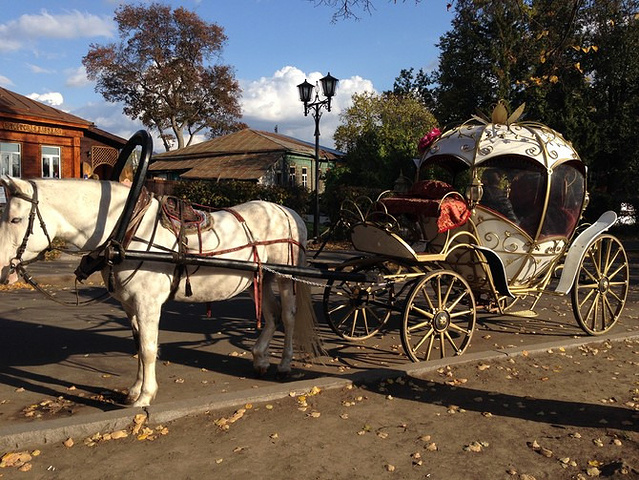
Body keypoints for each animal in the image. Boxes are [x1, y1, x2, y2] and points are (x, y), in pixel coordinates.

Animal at [0, 178, 320, 406]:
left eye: (15, 220)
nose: (3, 269)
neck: (126, 228)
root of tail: (289, 211)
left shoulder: (148, 303)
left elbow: (148, 348)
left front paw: (145, 396)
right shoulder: (130, 305)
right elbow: (138, 346)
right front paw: (134, 389)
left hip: (286, 277)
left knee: (288, 316)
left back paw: (284, 365)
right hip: (264, 276)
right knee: (271, 315)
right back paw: (260, 358)